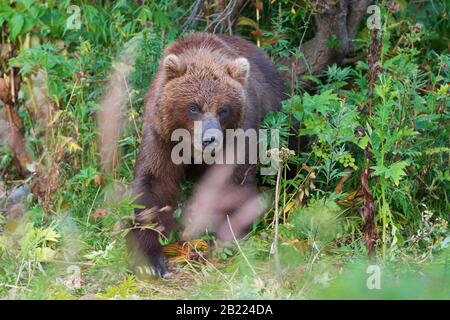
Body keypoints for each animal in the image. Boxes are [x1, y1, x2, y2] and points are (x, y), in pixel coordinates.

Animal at [128, 33, 286, 278]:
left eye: (223, 109)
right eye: (194, 107)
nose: (210, 139)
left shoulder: (239, 134)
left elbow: (232, 184)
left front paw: (223, 241)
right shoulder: (161, 135)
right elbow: (154, 184)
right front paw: (149, 259)